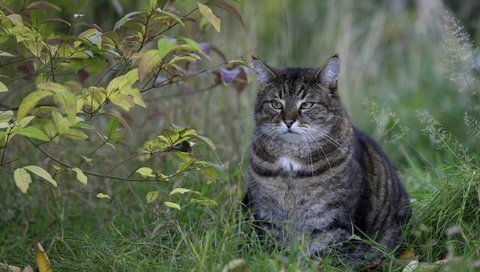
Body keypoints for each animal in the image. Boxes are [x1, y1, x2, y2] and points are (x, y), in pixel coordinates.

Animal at [244, 54, 412, 268]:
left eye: (306, 105)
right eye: (276, 104)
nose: (288, 121)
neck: (291, 160)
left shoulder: (332, 222)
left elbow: (323, 255)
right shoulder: (268, 216)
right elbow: (274, 249)